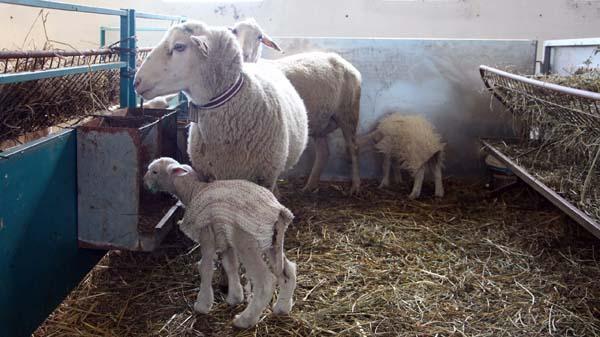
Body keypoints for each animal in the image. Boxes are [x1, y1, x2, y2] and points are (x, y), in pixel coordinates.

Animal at [144, 158, 298, 328]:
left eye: (154, 171)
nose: (144, 182)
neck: (193, 191)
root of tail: (279, 211)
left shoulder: (206, 236)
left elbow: (205, 268)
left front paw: (202, 305)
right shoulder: (225, 238)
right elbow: (230, 265)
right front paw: (235, 298)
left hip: (247, 243)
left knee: (265, 282)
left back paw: (245, 320)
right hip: (273, 242)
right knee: (288, 270)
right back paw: (282, 307)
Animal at [230, 18, 360, 194]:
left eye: (259, 36)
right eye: (234, 31)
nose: (243, 54)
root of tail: (341, 61)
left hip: (348, 113)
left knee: (353, 148)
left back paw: (355, 186)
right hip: (319, 122)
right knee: (324, 153)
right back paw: (309, 186)